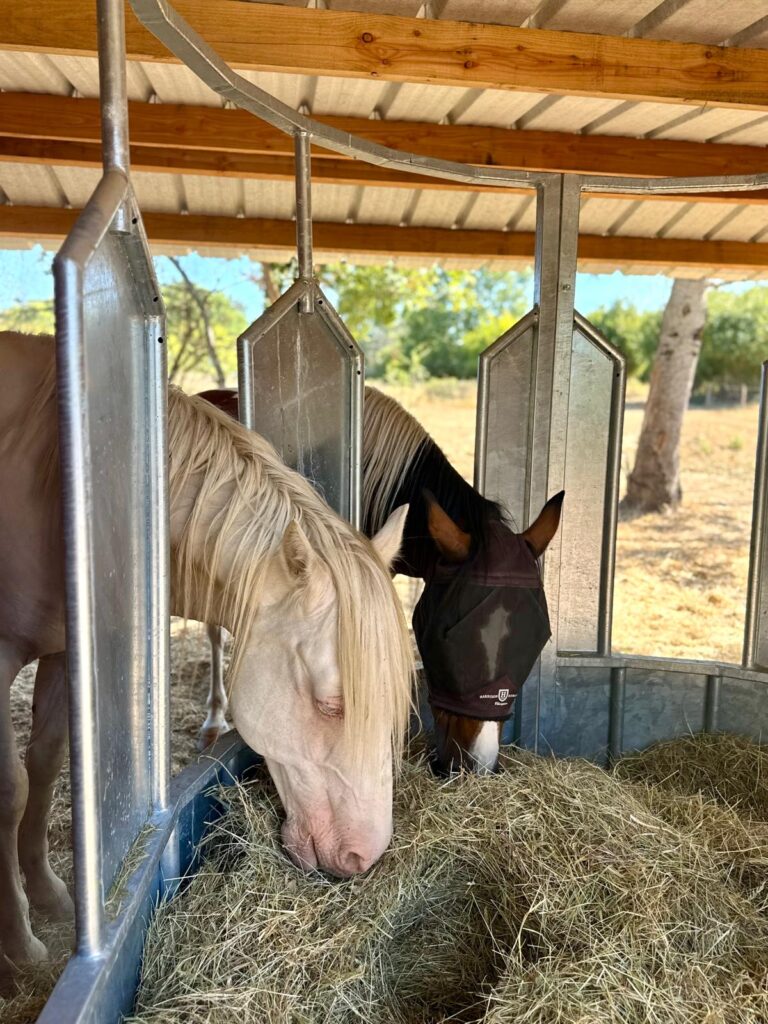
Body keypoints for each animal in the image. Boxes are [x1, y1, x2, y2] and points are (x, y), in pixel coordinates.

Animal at [0, 332, 413, 966]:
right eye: (331, 705)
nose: (361, 859)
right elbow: (12, 790)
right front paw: (20, 941)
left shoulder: (67, 653)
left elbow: (44, 763)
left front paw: (48, 894)